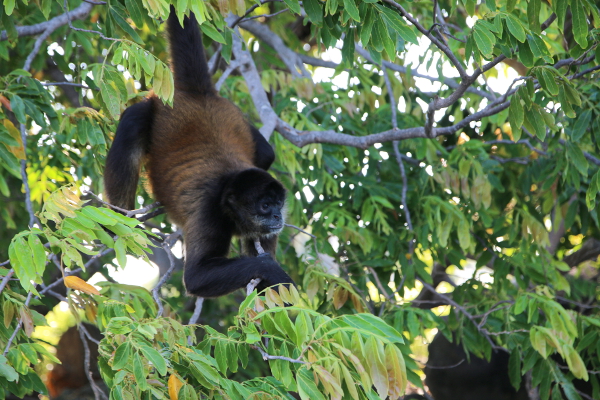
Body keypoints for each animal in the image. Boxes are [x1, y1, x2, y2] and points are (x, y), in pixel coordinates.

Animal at [106, 6, 298, 298]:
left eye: (277, 203)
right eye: (265, 206)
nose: (278, 216)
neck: (228, 187)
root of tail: (197, 94)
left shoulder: (267, 230)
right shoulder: (210, 211)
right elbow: (197, 277)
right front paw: (274, 271)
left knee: (267, 153)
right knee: (132, 121)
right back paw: (120, 225)